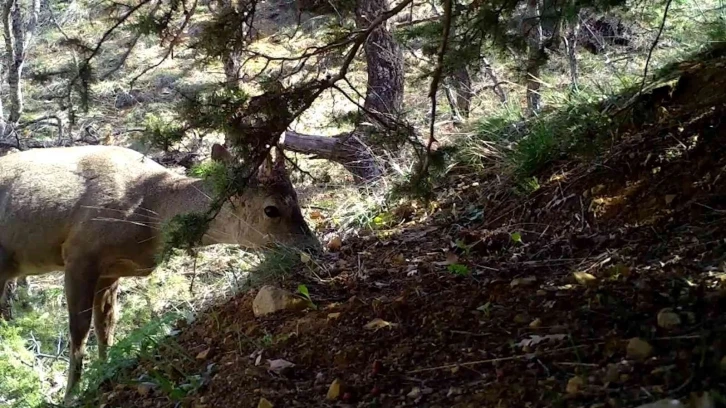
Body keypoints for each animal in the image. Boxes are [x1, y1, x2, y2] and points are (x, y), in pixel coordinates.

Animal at [0, 142, 318, 404]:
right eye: (271, 210)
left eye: (296, 197)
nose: (312, 247)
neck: (151, 214)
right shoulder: (79, 252)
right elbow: (79, 331)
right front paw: (71, 396)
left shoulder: (110, 272)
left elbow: (107, 327)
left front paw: (104, 374)